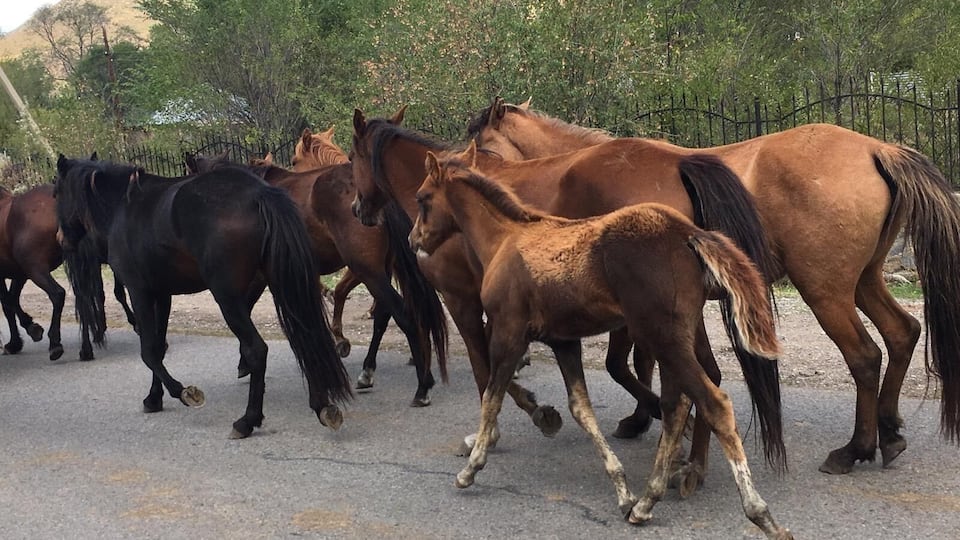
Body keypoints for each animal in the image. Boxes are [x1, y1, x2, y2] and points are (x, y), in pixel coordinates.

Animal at [0, 182, 136, 361]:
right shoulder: (20, 274)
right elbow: (11, 300)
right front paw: (19, 339)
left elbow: (8, 303)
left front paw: (23, 335)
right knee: (84, 298)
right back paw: (87, 348)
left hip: (36, 268)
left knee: (58, 294)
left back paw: (56, 344)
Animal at [54, 155, 352, 438]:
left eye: (56, 192)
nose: (60, 239)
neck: (123, 207)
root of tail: (259, 194)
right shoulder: (162, 294)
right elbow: (158, 347)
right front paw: (154, 398)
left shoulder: (139, 292)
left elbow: (148, 351)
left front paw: (183, 392)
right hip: (281, 283)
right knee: (306, 338)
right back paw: (322, 405)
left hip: (228, 297)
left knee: (257, 349)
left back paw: (247, 420)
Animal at [185, 135, 449, 407]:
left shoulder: (259, 278)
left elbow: (246, 309)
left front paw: (244, 362)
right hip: (381, 270)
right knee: (384, 315)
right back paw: (368, 371)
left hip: (367, 269)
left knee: (403, 314)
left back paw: (422, 385)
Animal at [409, 143, 791, 539]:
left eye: (422, 198)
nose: (414, 240)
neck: (506, 240)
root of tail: (687, 233)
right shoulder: (563, 341)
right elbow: (581, 408)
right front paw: (621, 489)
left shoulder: (508, 332)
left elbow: (491, 396)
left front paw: (471, 467)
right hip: (672, 338)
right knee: (676, 406)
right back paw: (646, 501)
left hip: (662, 336)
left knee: (712, 402)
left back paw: (759, 513)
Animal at [466, 97, 960, 475]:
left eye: (483, 149)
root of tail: (877, 148)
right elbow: (641, 365)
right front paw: (645, 418)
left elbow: (622, 364)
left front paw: (660, 419)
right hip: (864, 282)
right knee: (901, 334)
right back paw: (889, 432)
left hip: (826, 293)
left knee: (864, 357)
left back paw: (855, 449)